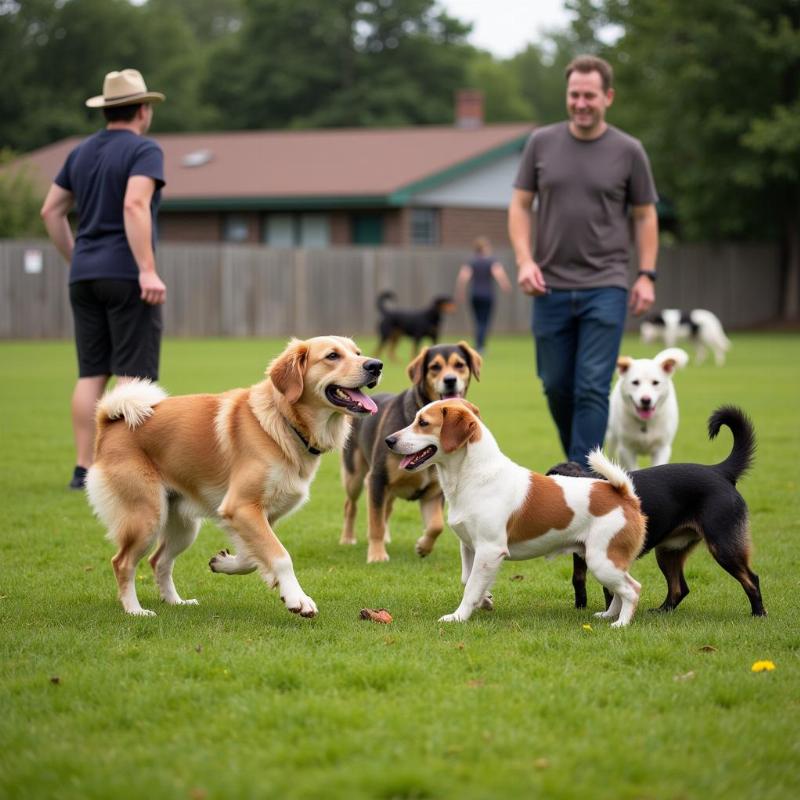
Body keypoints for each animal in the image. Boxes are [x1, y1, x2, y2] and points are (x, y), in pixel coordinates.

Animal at [87, 338, 382, 620]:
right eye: (332, 355)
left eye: (357, 353)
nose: (376, 365)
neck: (282, 422)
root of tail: (110, 422)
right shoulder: (241, 507)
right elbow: (280, 555)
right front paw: (297, 599)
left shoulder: (258, 516)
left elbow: (254, 558)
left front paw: (224, 563)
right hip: (146, 518)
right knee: (122, 562)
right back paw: (135, 610)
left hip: (184, 528)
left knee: (158, 561)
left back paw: (176, 601)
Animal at [340, 342, 482, 564]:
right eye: (434, 367)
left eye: (459, 365)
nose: (450, 380)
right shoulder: (377, 479)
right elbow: (375, 523)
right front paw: (377, 555)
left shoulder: (433, 492)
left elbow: (436, 525)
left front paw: (423, 546)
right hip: (355, 476)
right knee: (351, 505)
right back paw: (347, 539)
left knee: (386, 510)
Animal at [548, 406, 764, 620]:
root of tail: (720, 471)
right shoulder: (583, 554)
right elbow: (579, 579)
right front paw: (582, 606)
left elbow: (610, 588)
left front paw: (611, 613)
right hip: (668, 551)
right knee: (679, 588)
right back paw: (662, 611)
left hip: (723, 546)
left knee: (751, 579)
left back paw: (759, 613)